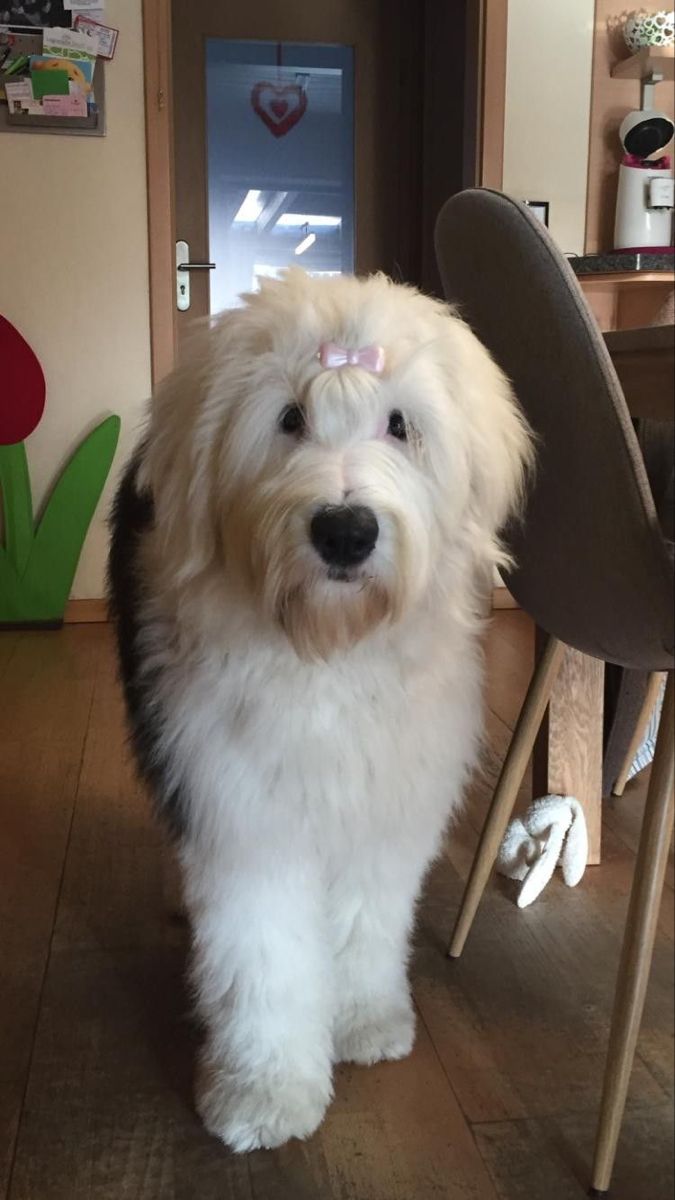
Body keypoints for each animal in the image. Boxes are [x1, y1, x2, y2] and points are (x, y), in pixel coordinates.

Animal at [109, 270, 530, 1152]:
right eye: (288, 418)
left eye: (400, 424)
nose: (344, 530)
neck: (329, 653)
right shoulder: (244, 814)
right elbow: (263, 955)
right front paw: (263, 1093)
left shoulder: (384, 806)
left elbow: (365, 921)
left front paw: (365, 1021)